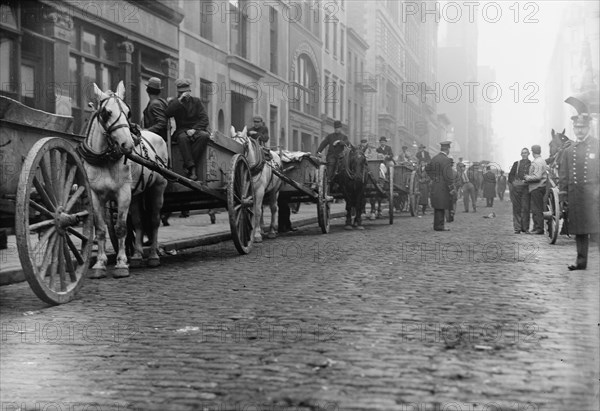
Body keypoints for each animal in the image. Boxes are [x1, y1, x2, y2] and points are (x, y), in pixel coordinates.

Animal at [79, 82, 168, 278]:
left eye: (128, 112)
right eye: (106, 112)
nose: (128, 145)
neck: (105, 160)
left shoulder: (123, 193)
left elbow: (121, 228)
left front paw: (120, 264)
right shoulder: (96, 195)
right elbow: (101, 229)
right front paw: (100, 264)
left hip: (158, 188)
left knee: (154, 220)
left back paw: (153, 255)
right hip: (137, 194)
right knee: (139, 221)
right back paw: (136, 256)